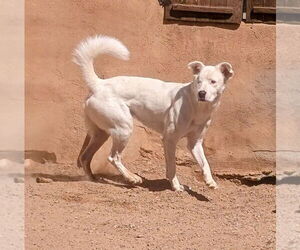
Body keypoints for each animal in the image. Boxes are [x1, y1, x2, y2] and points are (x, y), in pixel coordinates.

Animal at [73, 35, 234, 191]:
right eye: (198, 81)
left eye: (213, 82)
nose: (201, 93)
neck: (198, 106)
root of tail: (99, 84)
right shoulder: (169, 139)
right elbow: (172, 166)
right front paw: (175, 186)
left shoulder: (195, 142)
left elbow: (205, 164)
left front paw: (210, 181)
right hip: (123, 129)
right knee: (113, 157)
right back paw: (132, 178)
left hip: (101, 133)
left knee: (85, 157)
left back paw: (92, 179)